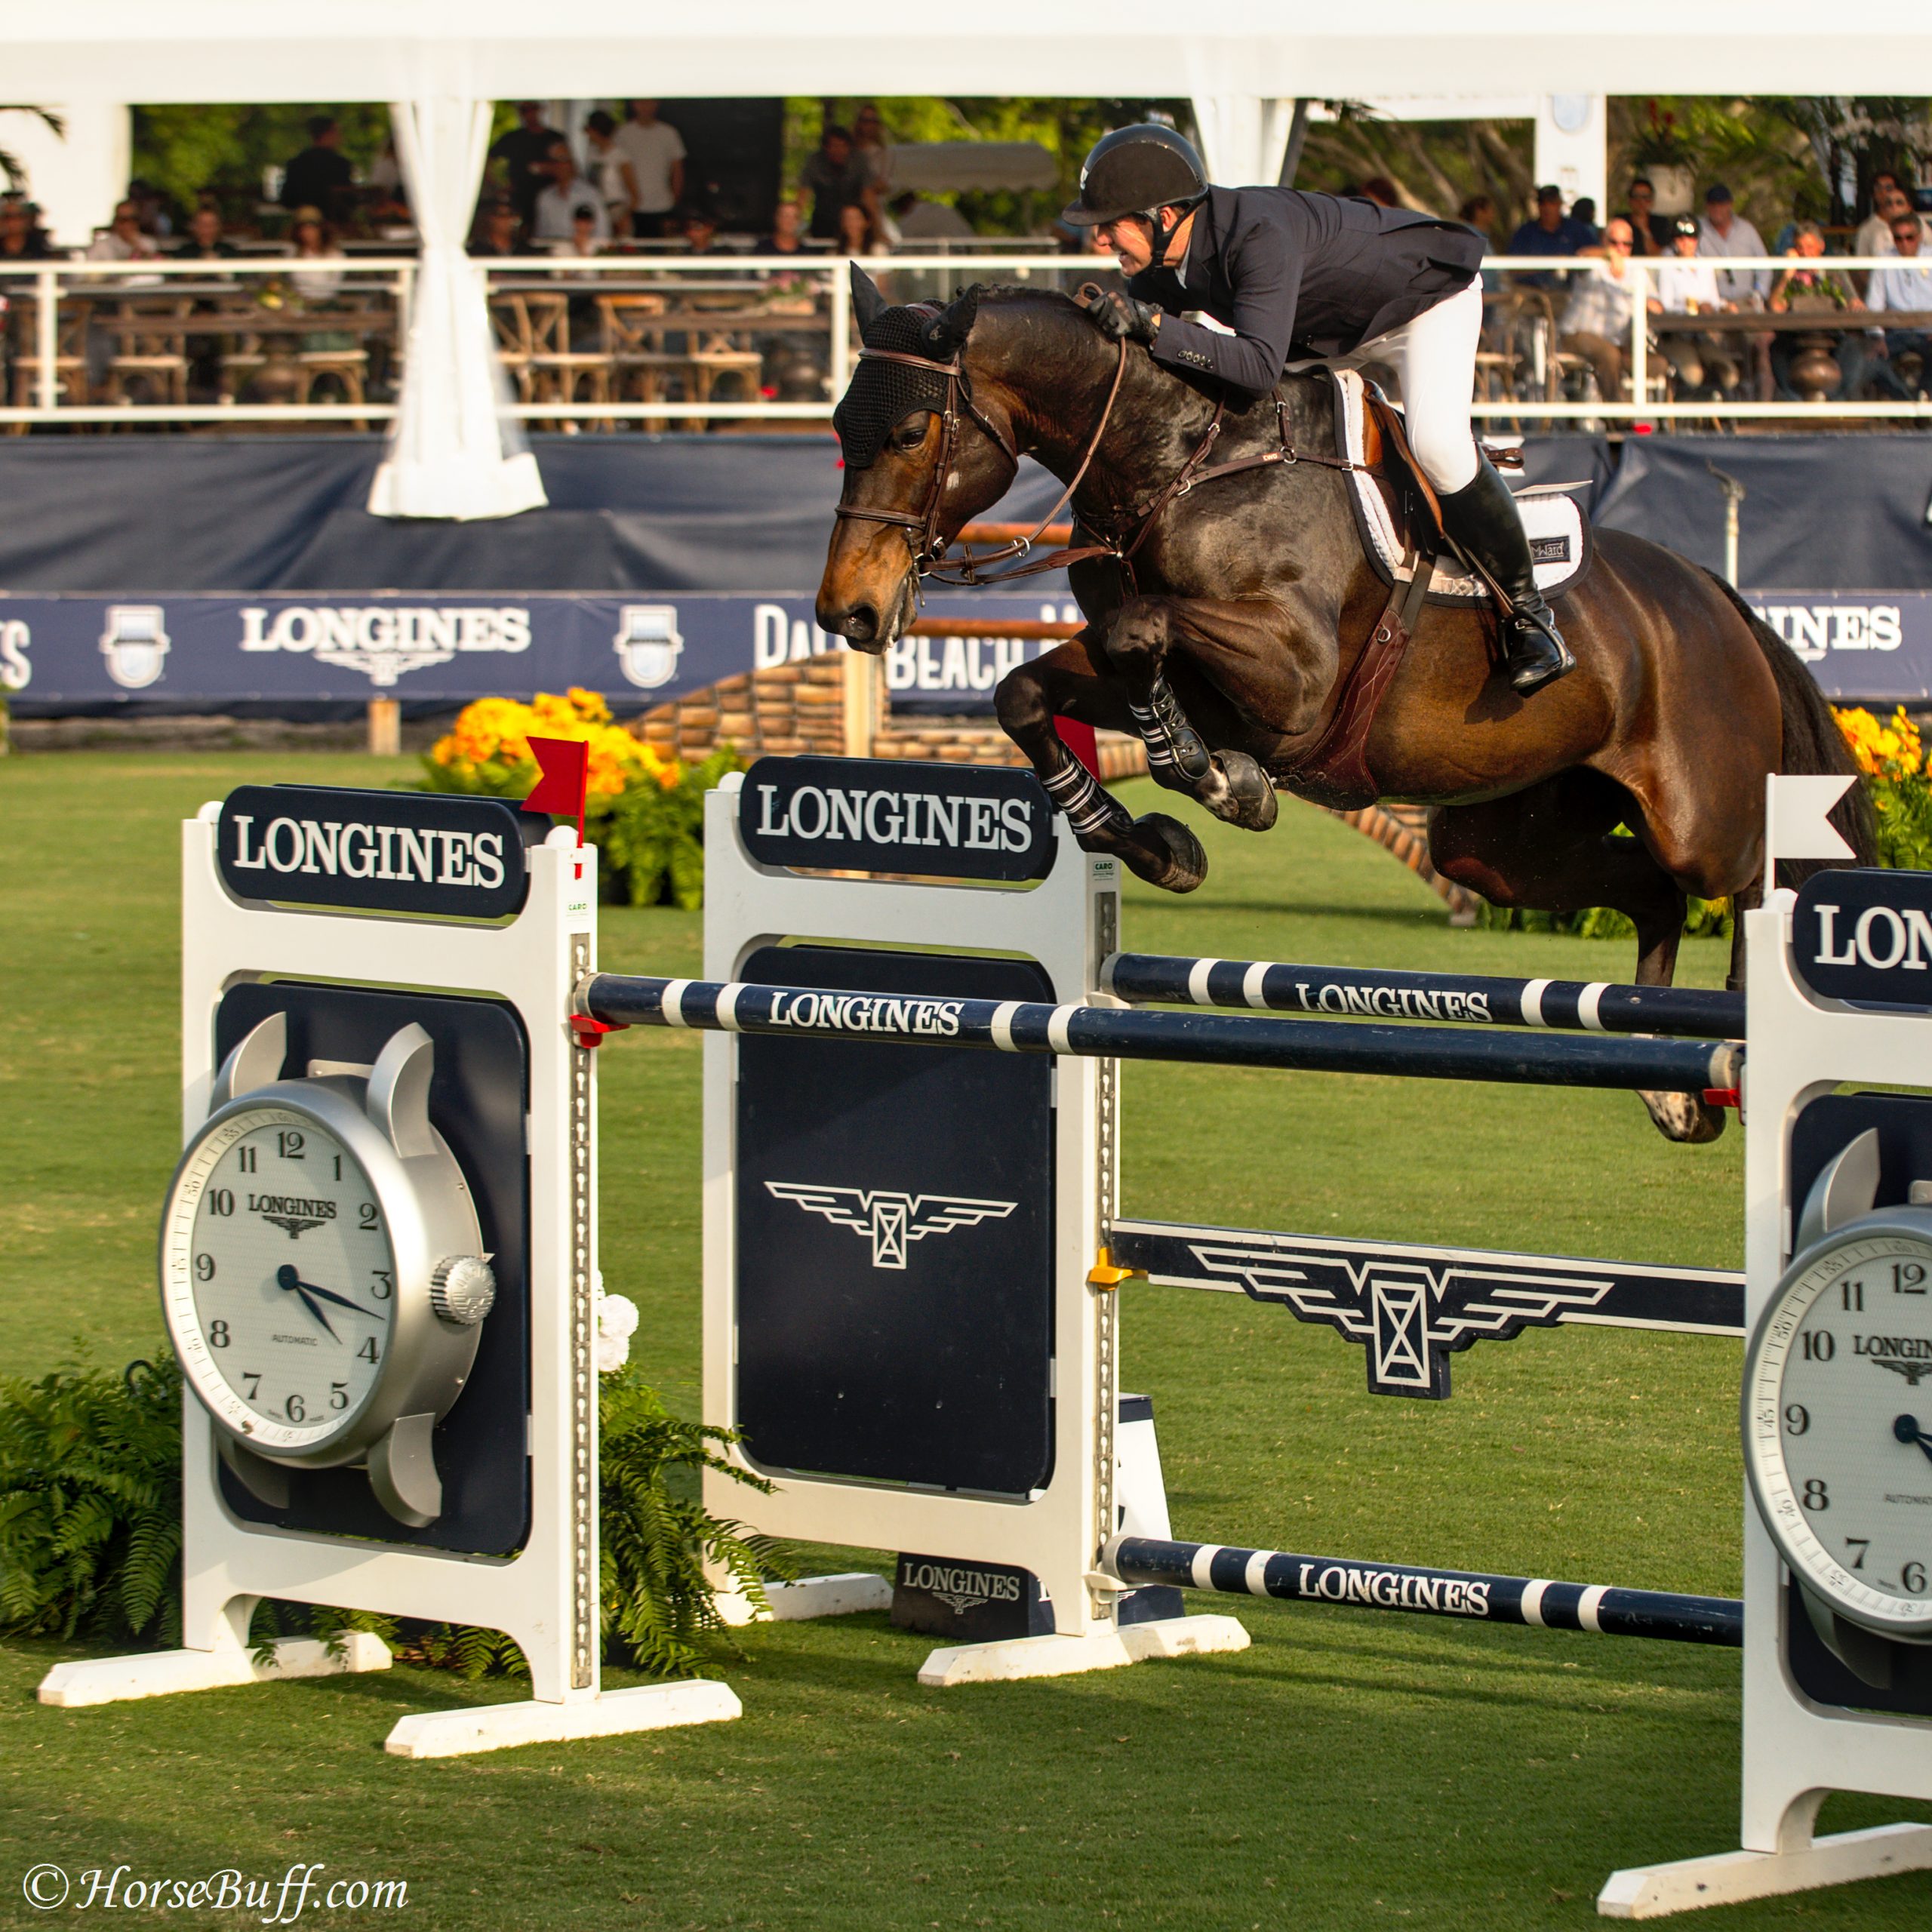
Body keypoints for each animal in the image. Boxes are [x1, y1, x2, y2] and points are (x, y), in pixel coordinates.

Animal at [815, 272, 1870, 1143]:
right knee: (1648, 893)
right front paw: (1157, 840)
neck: (1178, 461)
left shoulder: (1297, 676)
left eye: (909, 433)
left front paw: (1216, 783)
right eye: (837, 430)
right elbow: (1030, 689)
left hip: (1700, 813)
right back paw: (1669, 1088)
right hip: (1502, 843)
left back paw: (1739, 1060)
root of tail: (1716, 598)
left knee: (1756, 882)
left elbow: (1138, 635)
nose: (847, 611)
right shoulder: (1181, 677)